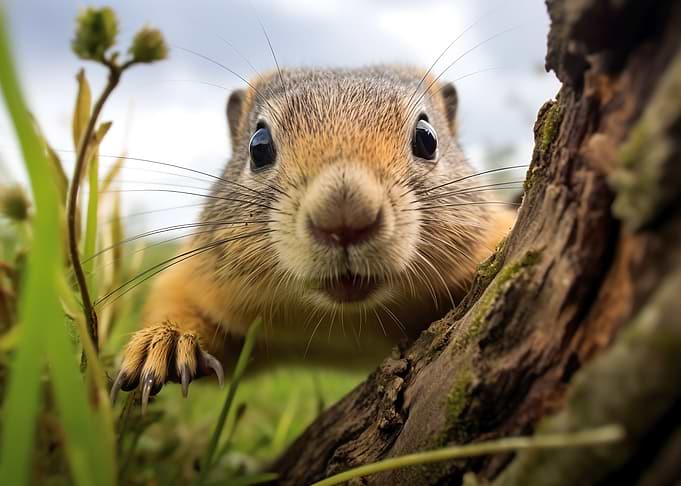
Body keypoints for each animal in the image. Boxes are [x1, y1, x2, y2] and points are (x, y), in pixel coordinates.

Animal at [110, 66, 516, 411]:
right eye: (258, 146)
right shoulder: (199, 274)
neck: (349, 326)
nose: (344, 218)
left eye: (427, 139)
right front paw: (165, 343)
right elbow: (177, 303)